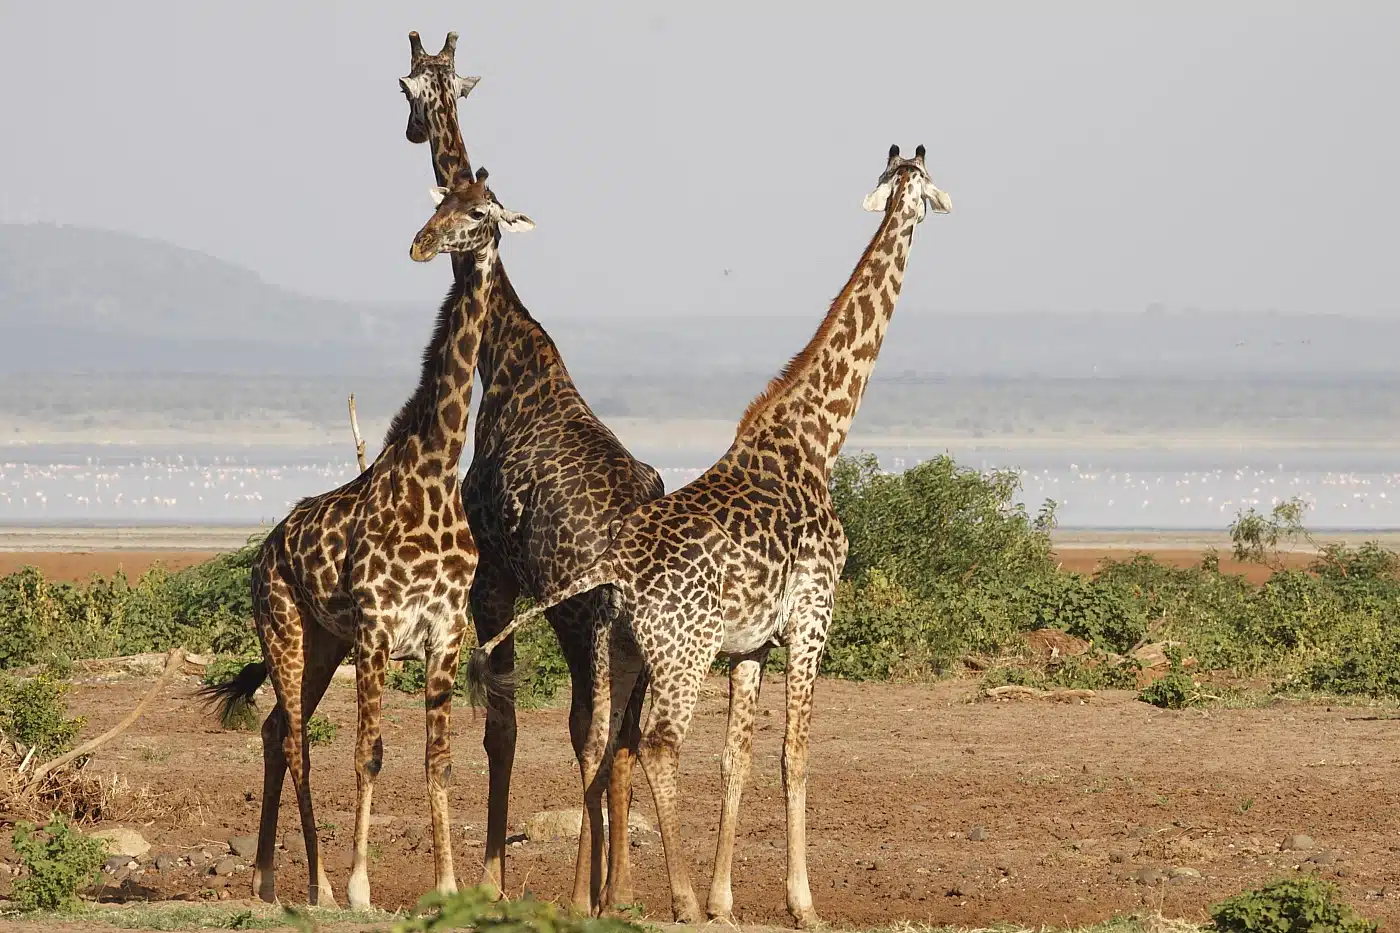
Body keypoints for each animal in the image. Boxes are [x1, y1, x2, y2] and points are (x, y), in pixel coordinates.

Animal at [198, 165, 535, 910]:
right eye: (440, 204)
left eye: (480, 212)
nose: (420, 244)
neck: (434, 475)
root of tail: (265, 551)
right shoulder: (379, 630)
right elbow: (368, 753)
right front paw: (358, 886)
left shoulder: (445, 633)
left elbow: (438, 760)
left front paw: (446, 884)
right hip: (286, 629)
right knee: (295, 740)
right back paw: (317, 884)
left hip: (325, 645)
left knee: (274, 729)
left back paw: (266, 877)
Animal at [466, 144, 950, 925]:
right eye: (927, 187)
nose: (933, 207)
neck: (817, 439)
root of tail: (612, 565)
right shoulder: (813, 616)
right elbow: (793, 754)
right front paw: (799, 903)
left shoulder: (751, 642)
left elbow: (738, 758)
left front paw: (728, 898)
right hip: (680, 653)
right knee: (658, 743)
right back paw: (680, 898)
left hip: (620, 648)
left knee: (602, 738)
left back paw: (605, 899)